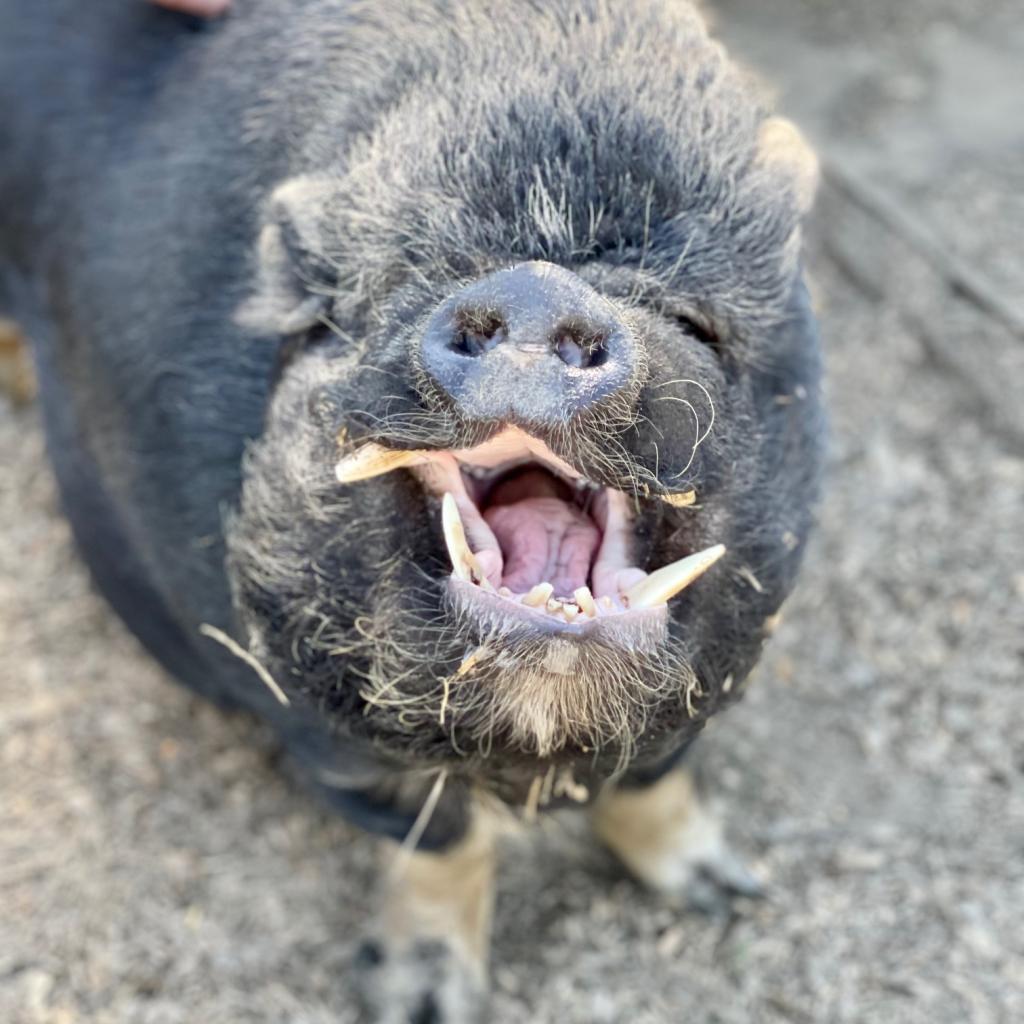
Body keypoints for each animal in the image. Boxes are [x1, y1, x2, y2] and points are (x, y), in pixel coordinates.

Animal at [0, 1, 824, 1020]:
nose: (536, 285)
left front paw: (729, 894)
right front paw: (421, 1004)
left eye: (696, 318)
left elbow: (654, 775)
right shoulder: (312, 724)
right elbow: (443, 841)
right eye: (399, 285)